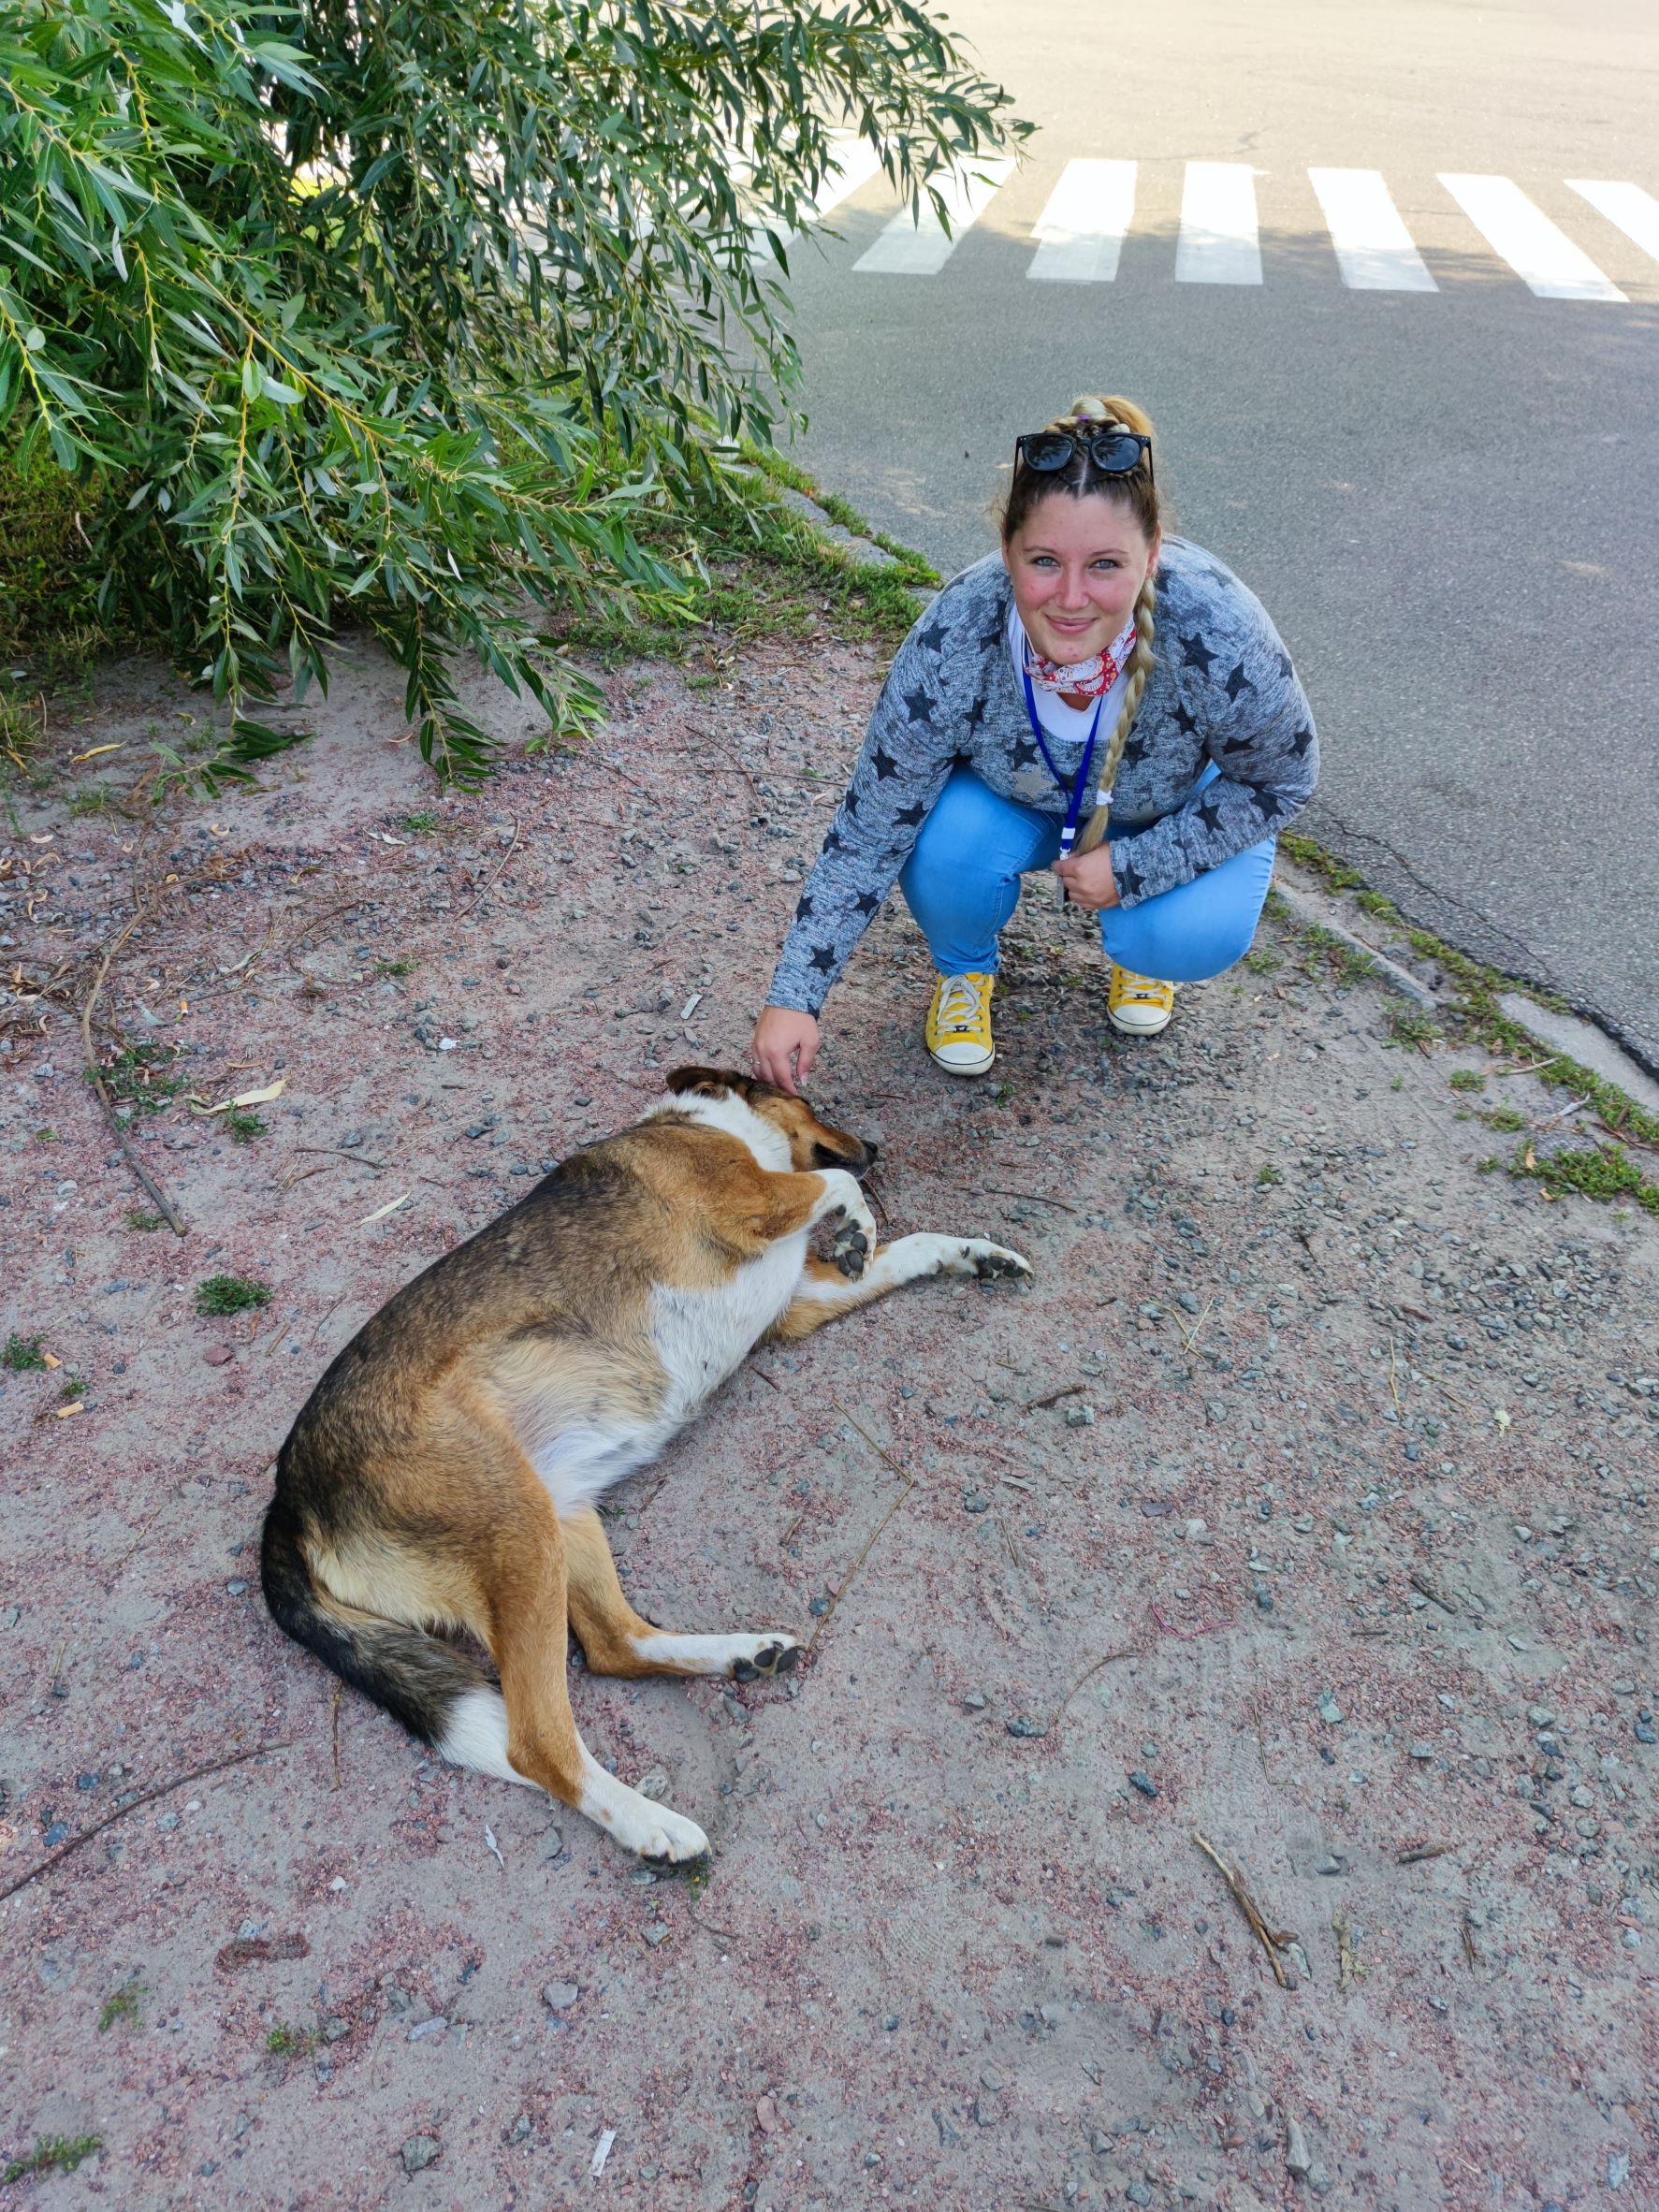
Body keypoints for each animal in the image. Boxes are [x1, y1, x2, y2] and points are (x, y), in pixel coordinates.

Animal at [261, 1066, 1031, 1864]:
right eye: (810, 1102)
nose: (876, 1145)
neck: (705, 1124)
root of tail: (286, 1506)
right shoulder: (751, 1202)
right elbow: (833, 1184)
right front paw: (861, 1225)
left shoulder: (799, 1297)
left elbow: (908, 1246)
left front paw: (976, 1253)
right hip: (516, 1530)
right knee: (537, 1742)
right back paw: (652, 1825)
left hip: (560, 1516)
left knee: (614, 1647)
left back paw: (745, 1655)